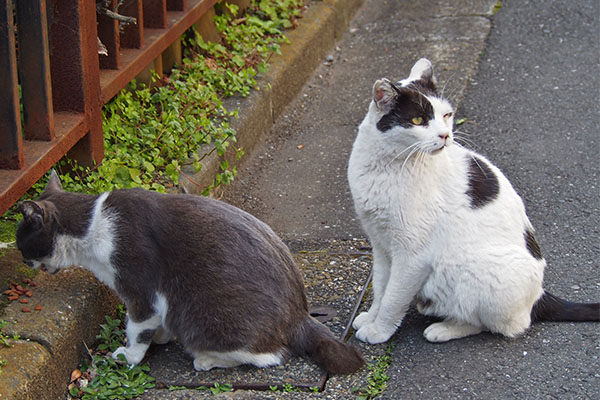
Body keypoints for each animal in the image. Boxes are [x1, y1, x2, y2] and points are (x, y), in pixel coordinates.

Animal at [17, 173, 366, 376]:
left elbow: (138, 327)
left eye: (22, 242)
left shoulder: (138, 287)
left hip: (202, 316)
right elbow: (154, 324)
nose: (21, 260)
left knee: (271, 356)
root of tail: (300, 315)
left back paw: (206, 359)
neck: (91, 226)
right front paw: (160, 336)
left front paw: (129, 355)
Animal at [346, 58, 600, 344]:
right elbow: (381, 288)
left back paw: (443, 329)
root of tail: (539, 296)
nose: (445, 135)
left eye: (446, 115)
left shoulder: (412, 255)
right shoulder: (380, 244)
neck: (386, 166)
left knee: (503, 324)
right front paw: (371, 317)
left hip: (479, 272)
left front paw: (379, 330)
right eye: (418, 120)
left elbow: (393, 297)